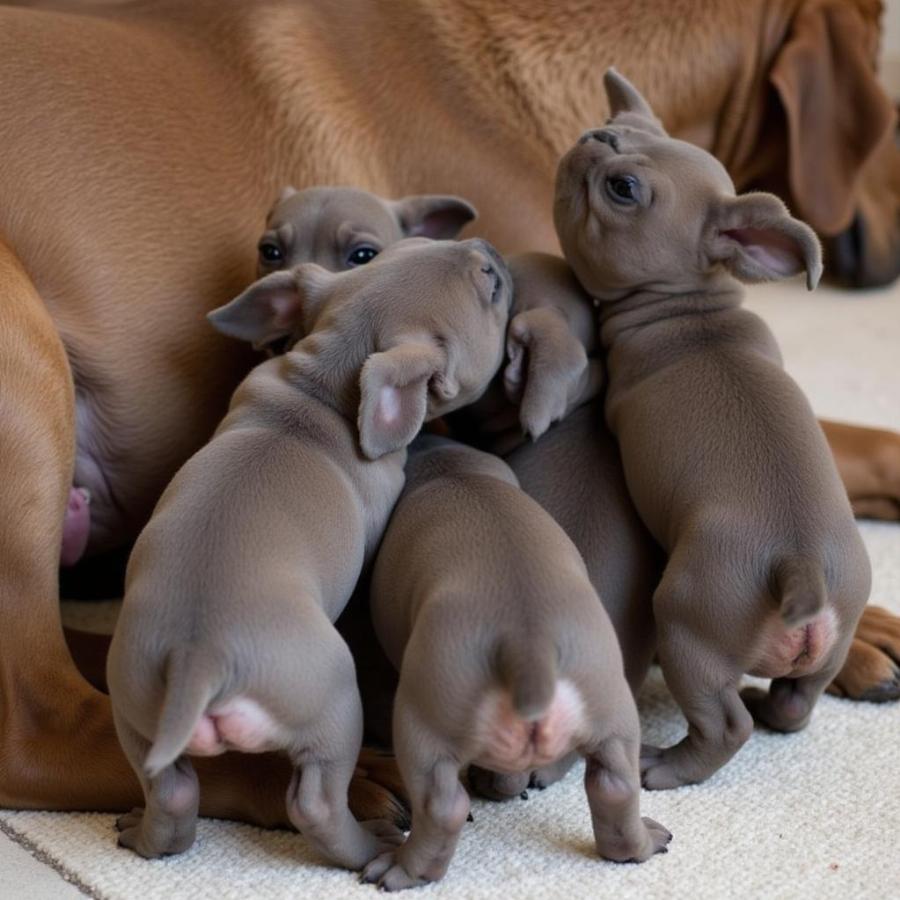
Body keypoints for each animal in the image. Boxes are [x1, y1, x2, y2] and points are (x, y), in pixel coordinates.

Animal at [104, 236, 510, 868]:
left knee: (170, 790)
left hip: (135, 705)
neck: (322, 382)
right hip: (334, 704)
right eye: (488, 281)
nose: (487, 244)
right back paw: (368, 843)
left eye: (407, 244)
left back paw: (145, 833)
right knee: (314, 801)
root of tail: (199, 658)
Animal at [362, 438, 672, 892]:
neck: (452, 472)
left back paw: (403, 869)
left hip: (424, 727)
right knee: (614, 786)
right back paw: (641, 843)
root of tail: (529, 644)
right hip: (610, 706)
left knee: (443, 806)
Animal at [556, 70, 872, 788]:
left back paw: (667, 766)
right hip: (836, 633)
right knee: (798, 701)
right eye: (615, 131)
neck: (691, 307)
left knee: (725, 725)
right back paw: (772, 705)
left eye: (623, 188)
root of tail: (798, 567)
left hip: (686, 626)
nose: (594, 137)